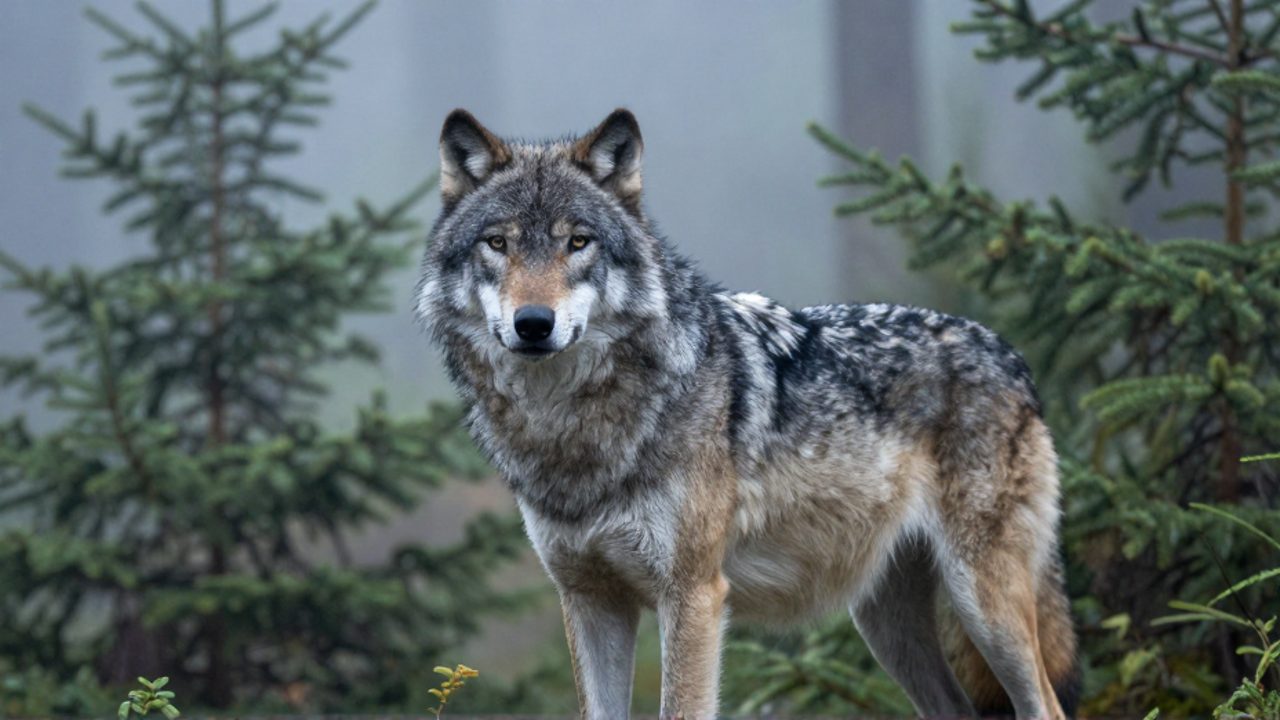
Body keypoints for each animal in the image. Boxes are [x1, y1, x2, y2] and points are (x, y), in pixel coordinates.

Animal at [414, 109, 1078, 720]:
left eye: (578, 242)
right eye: (497, 243)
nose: (533, 324)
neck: (570, 428)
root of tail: (1012, 355)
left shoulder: (694, 595)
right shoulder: (589, 599)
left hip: (982, 600)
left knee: (1046, 706)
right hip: (885, 624)